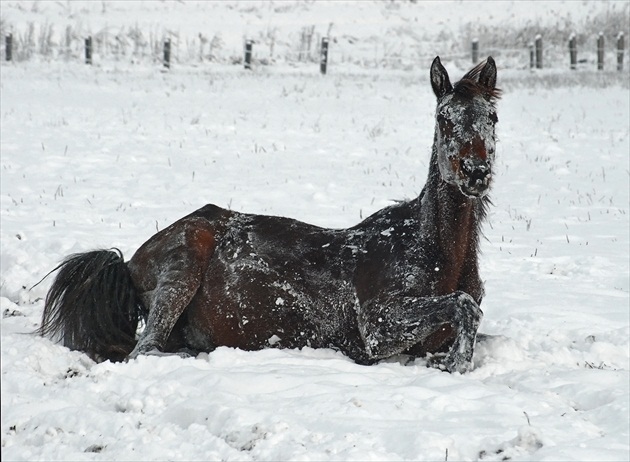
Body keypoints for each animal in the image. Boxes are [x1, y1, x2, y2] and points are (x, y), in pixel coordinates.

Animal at [39, 57, 504, 374]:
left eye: (493, 117)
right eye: (443, 119)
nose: (476, 173)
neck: (435, 252)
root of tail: (131, 261)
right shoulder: (375, 327)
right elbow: (464, 307)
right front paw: (456, 365)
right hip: (184, 266)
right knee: (144, 349)